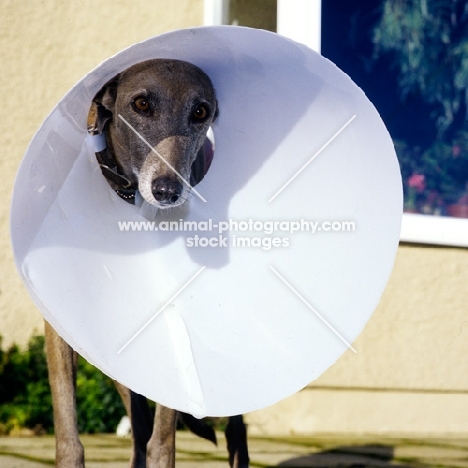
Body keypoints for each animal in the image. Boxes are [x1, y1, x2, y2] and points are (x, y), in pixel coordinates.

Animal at [44, 58, 250, 468]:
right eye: (141, 104)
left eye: (200, 111)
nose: (168, 191)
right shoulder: (62, 328)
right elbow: (69, 431)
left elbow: (163, 436)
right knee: (138, 421)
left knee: (234, 424)